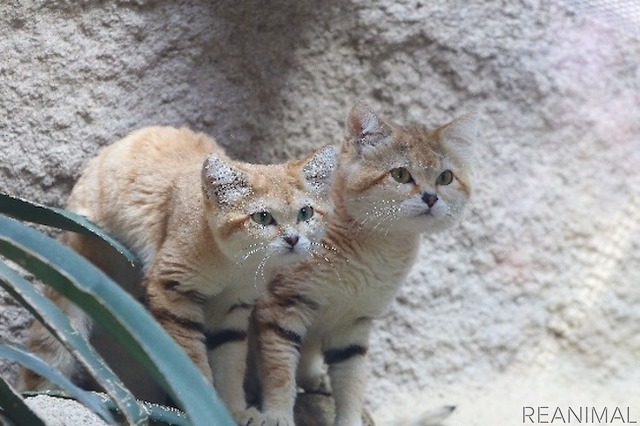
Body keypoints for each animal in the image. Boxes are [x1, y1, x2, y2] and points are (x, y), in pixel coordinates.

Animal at [17, 125, 338, 418]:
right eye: (262, 217)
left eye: (306, 213)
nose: (293, 239)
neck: (233, 265)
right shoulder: (172, 290)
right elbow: (191, 363)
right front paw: (204, 407)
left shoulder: (233, 306)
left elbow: (231, 363)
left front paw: (234, 411)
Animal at [242, 101, 478, 424]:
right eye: (401, 174)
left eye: (445, 178)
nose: (431, 197)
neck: (376, 249)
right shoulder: (280, 304)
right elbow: (279, 373)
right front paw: (277, 415)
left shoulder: (353, 324)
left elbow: (352, 382)